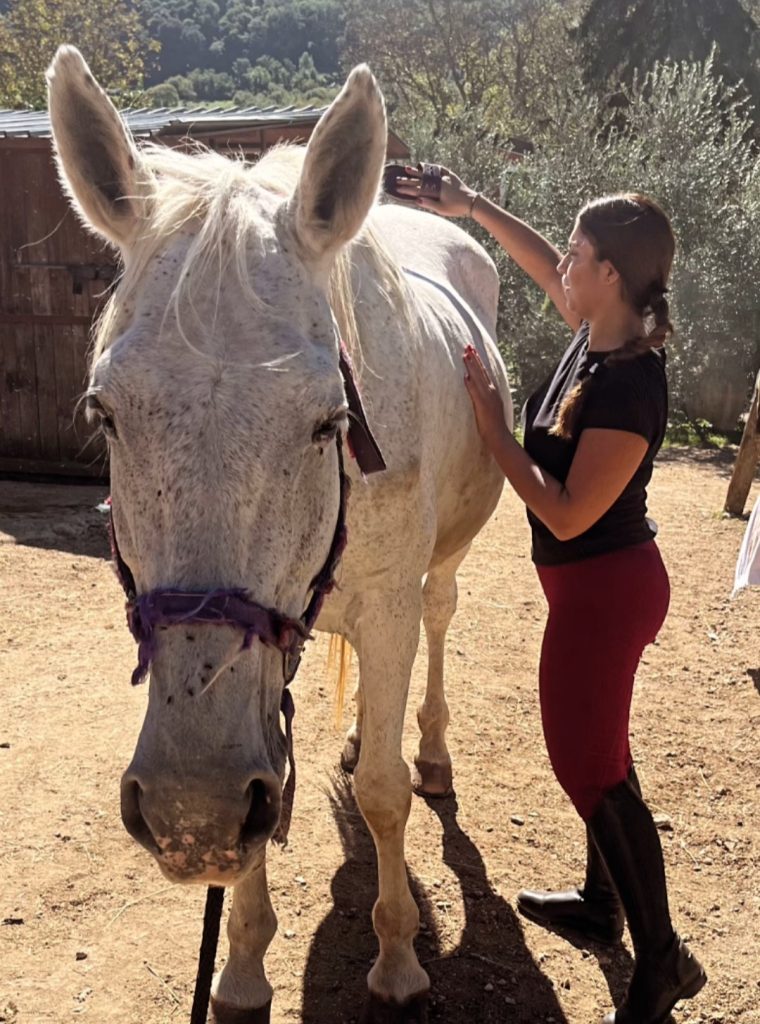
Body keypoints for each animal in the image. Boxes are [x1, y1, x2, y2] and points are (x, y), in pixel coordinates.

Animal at [47, 45, 513, 1023]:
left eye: (329, 421)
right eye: (105, 414)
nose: (187, 814)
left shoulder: (386, 611)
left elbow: (384, 794)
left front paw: (398, 959)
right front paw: (243, 967)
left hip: (441, 571)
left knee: (439, 624)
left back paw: (433, 749)